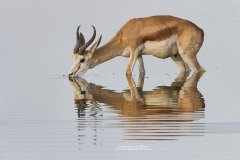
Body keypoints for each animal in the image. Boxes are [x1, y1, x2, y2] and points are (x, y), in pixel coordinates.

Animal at [68, 15, 205, 77]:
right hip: (176, 57)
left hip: (188, 56)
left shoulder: (134, 52)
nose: (70, 74)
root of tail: (200, 30)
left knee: (200, 70)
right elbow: (142, 72)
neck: (124, 35)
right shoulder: (139, 55)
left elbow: (127, 72)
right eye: (73, 59)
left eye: (82, 59)